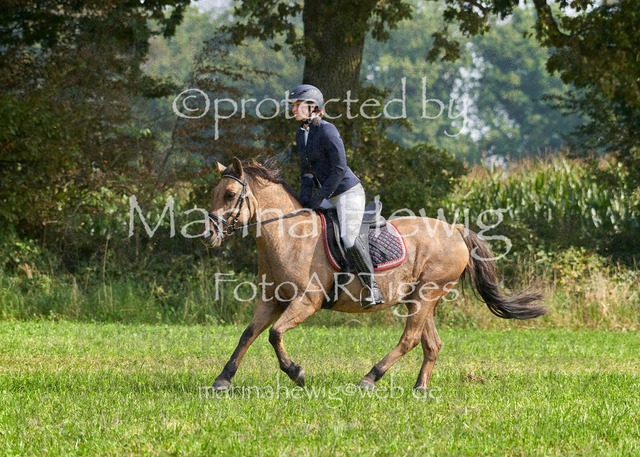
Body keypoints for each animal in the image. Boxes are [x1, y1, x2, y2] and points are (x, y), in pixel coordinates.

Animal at [203, 157, 547, 393]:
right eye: (215, 192)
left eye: (231, 194)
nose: (208, 235)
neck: (288, 235)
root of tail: (456, 230)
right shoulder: (270, 300)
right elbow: (248, 334)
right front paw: (223, 379)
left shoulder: (306, 302)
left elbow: (274, 334)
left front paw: (296, 372)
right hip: (420, 298)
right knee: (431, 343)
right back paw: (420, 389)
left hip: (426, 295)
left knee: (409, 339)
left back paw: (369, 378)